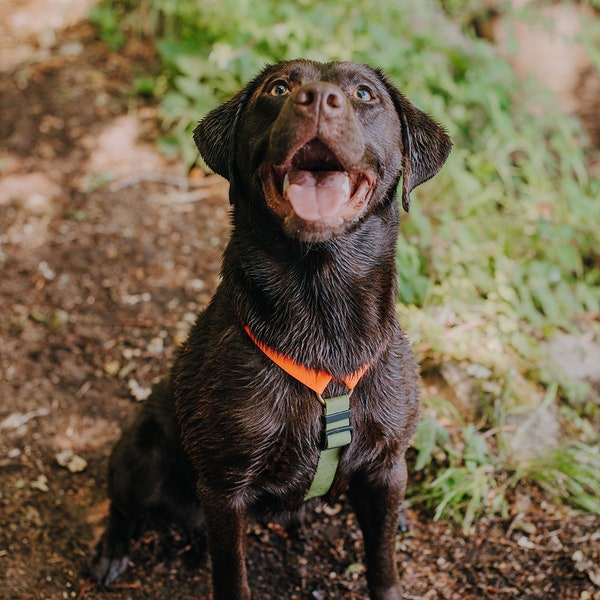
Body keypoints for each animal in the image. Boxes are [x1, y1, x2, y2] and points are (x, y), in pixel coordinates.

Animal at [91, 61, 450, 600]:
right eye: (278, 88)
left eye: (364, 93)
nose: (318, 98)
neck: (324, 316)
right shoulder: (224, 488)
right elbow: (232, 575)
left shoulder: (387, 468)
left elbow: (382, 561)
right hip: (141, 454)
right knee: (122, 505)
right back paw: (112, 551)